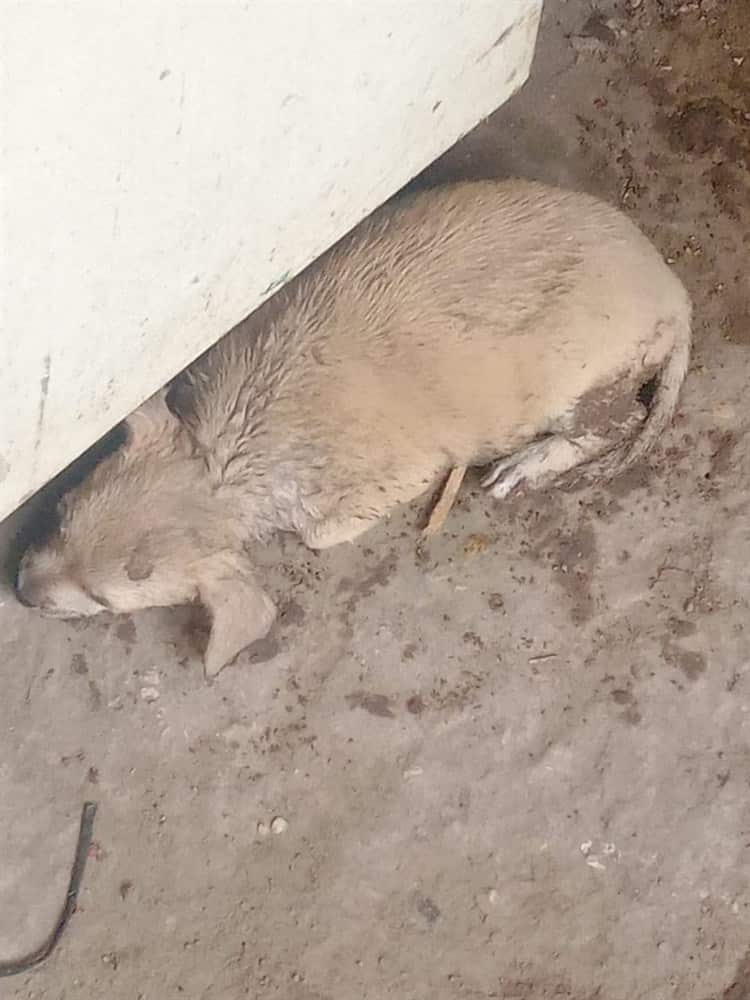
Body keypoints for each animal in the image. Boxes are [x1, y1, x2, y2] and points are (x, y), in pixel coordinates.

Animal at [14, 181, 692, 680]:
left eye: (102, 601)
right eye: (60, 515)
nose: (17, 591)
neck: (229, 459)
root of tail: (676, 294)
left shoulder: (370, 490)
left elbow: (320, 534)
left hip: (585, 383)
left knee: (618, 421)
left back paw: (528, 465)